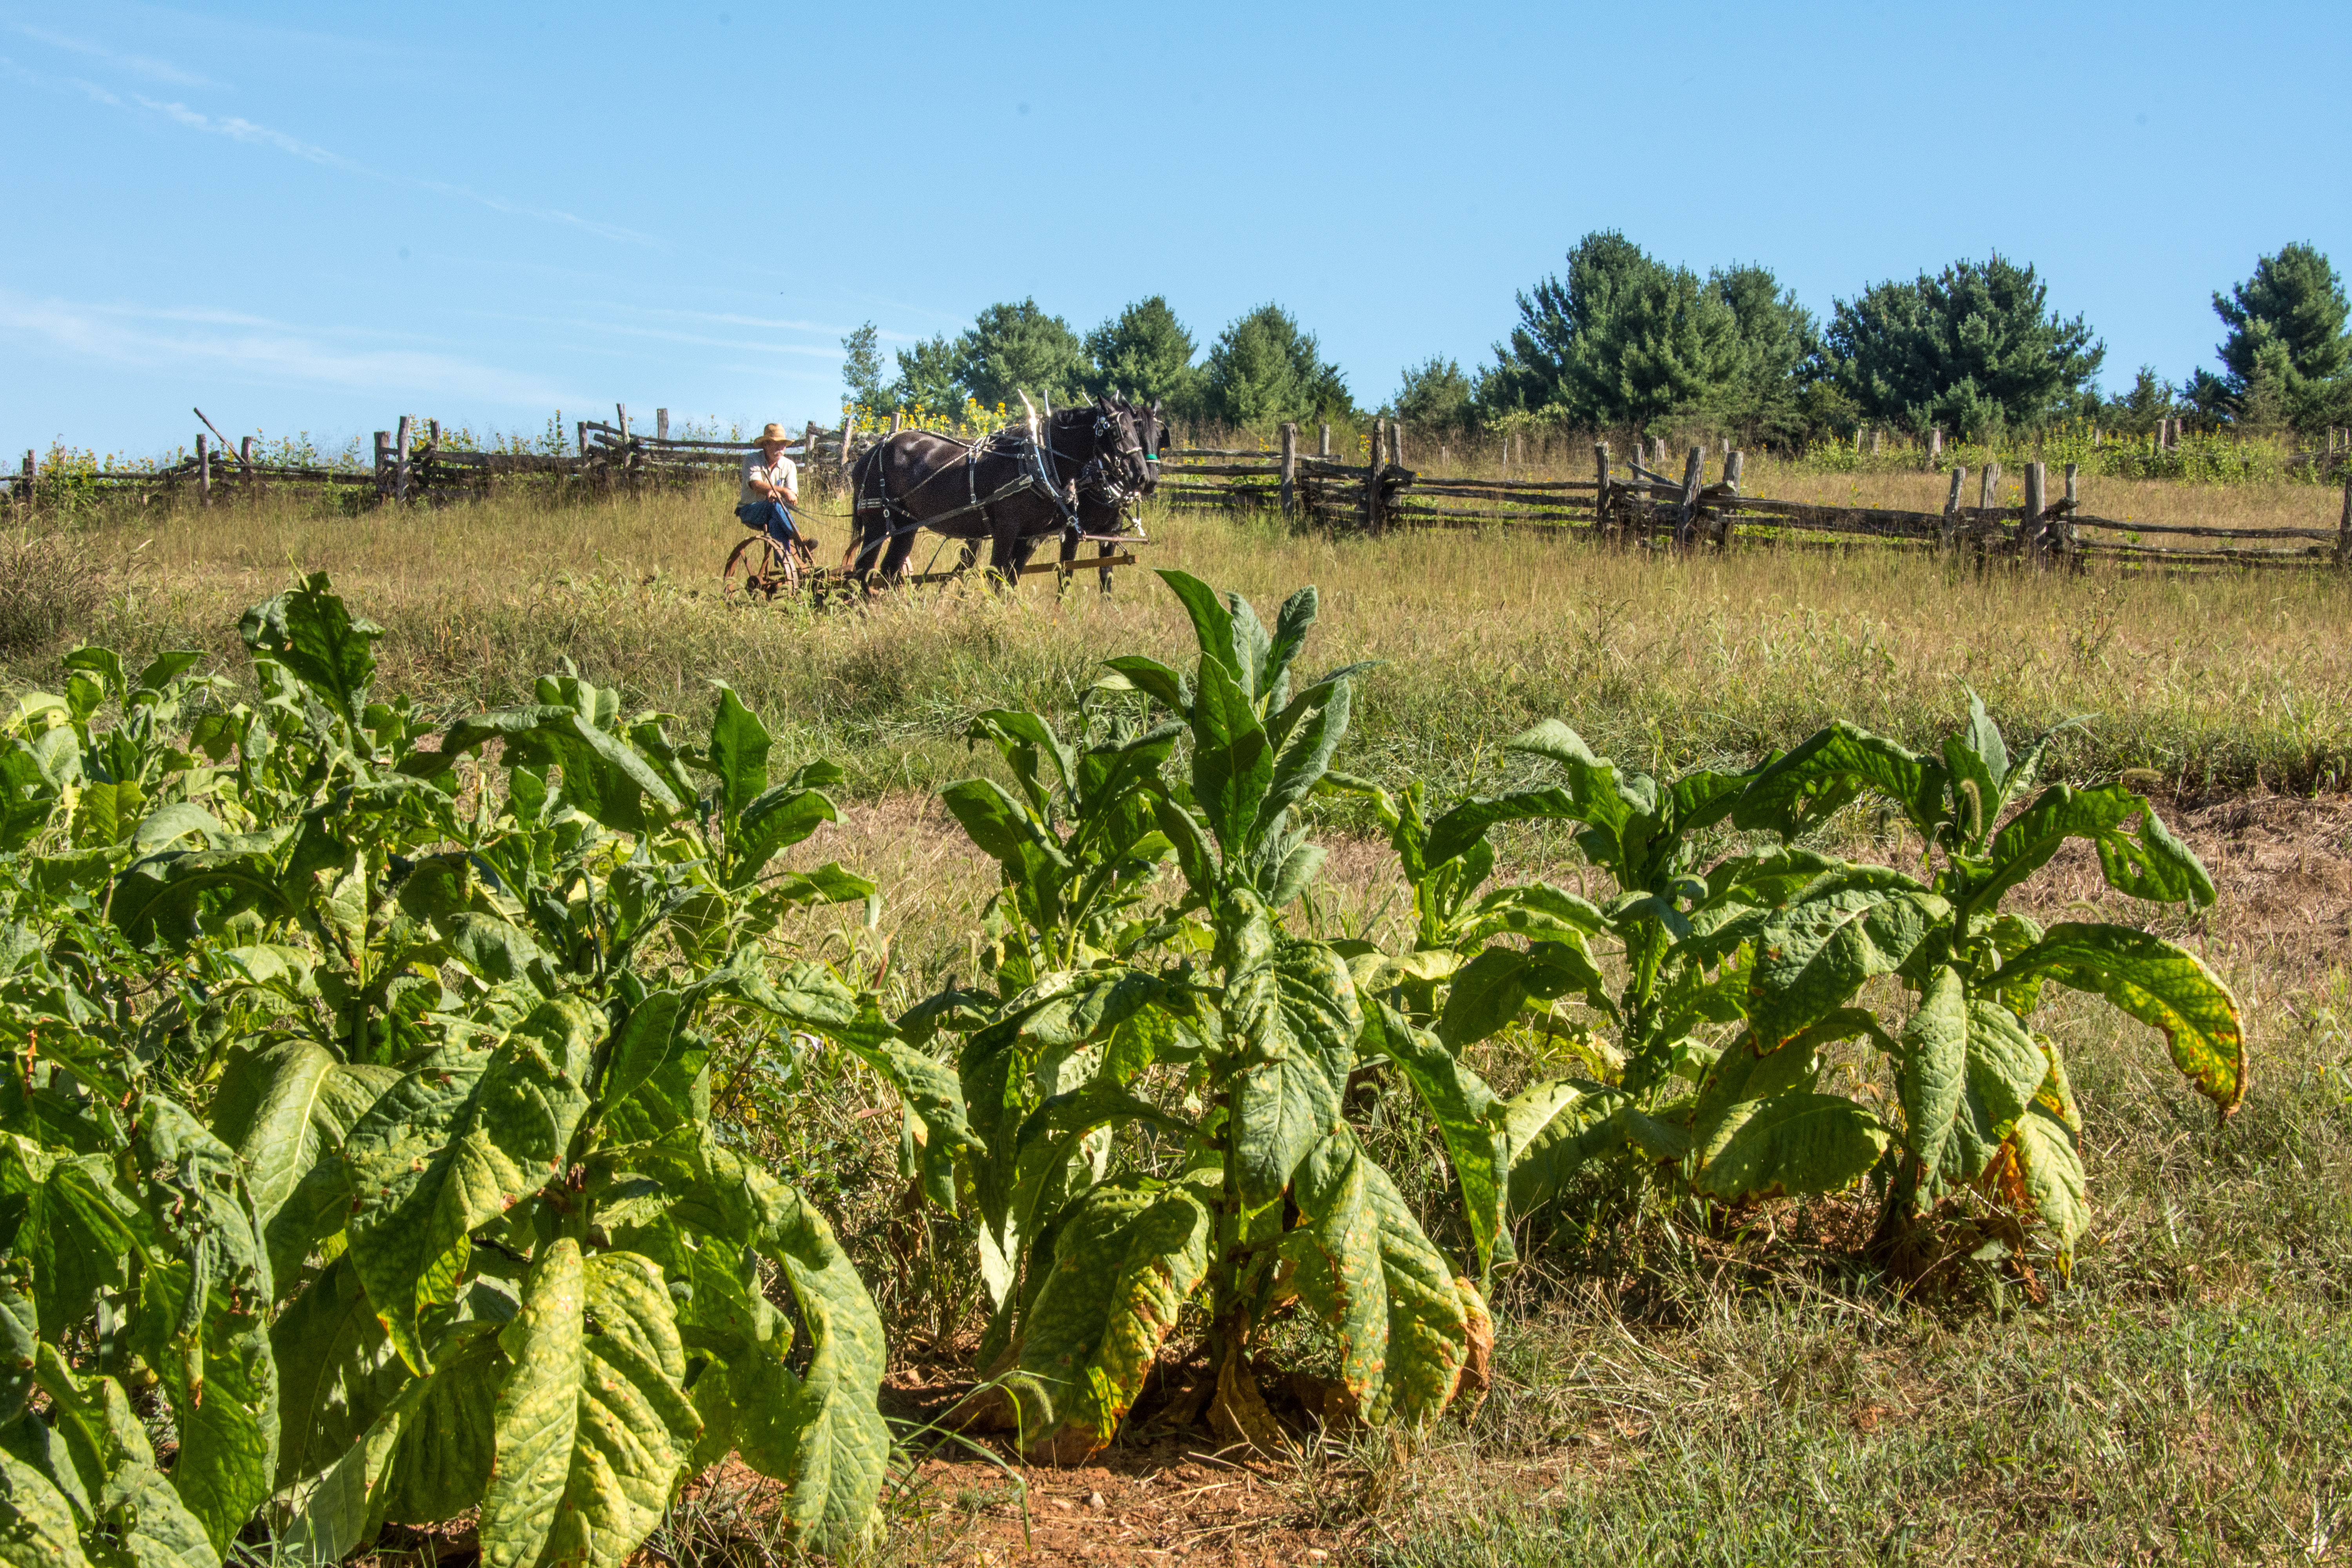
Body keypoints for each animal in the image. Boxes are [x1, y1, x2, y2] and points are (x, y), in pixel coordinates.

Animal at [844, 395, 1151, 587]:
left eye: (1139, 431)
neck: (1037, 462)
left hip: (904, 527)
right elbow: (996, 578)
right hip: (876, 523)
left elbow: (1011, 584)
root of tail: (871, 451)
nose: (1142, 477)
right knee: (858, 578)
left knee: (885, 575)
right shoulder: (1006, 529)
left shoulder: (1029, 537)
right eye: (1119, 432)